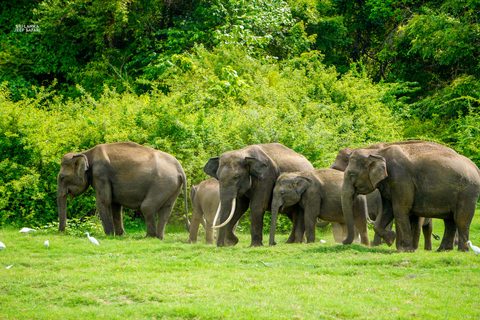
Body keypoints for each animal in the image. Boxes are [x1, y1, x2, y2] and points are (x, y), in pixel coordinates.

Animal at [57, 142, 188, 238]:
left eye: (62, 177)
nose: (62, 233)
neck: (85, 153)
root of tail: (180, 168)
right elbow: (115, 205)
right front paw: (120, 235)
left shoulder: (100, 174)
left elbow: (104, 201)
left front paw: (109, 235)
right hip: (173, 186)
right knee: (166, 210)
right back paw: (159, 237)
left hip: (162, 183)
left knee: (147, 207)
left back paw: (149, 237)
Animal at [340, 141, 478, 251]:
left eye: (351, 174)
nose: (343, 241)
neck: (377, 151)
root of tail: (476, 168)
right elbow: (387, 210)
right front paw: (391, 239)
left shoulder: (400, 178)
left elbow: (400, 209)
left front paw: (405, 249)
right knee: (449, 220)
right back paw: (443, 250)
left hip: (467, 192)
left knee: (461, 220)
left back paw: (462, 251)